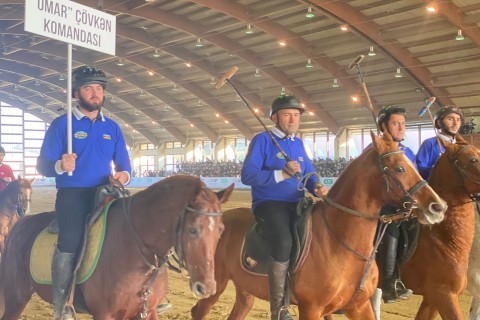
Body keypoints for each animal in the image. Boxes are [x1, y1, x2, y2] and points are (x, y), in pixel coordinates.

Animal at [0, 175, 234, 320]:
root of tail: (20, 225)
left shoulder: (147, 312)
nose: (207, 288)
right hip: (16, 298)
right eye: (193, 229)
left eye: (221, 230)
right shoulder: (105, 314)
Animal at [190, 131, 446, 318]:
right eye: (399, 168)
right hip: (214, 286)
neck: (340, 243)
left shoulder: (358, 305)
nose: (438, 206)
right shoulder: (311, 308)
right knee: (198, 312)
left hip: (245, 290)